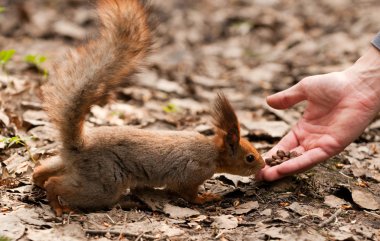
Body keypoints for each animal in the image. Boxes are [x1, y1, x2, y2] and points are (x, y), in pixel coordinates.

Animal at [31, 0, 264, 217]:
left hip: (69, 165)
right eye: (249, 157)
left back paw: (39, 181)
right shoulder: (191, 173)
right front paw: (205, 197)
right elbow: (187, 193)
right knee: (58, 184)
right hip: (102, 183)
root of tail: (79, 145)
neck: (213, 152)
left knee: (42, 168)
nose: (263, 165)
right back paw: (58, 205)